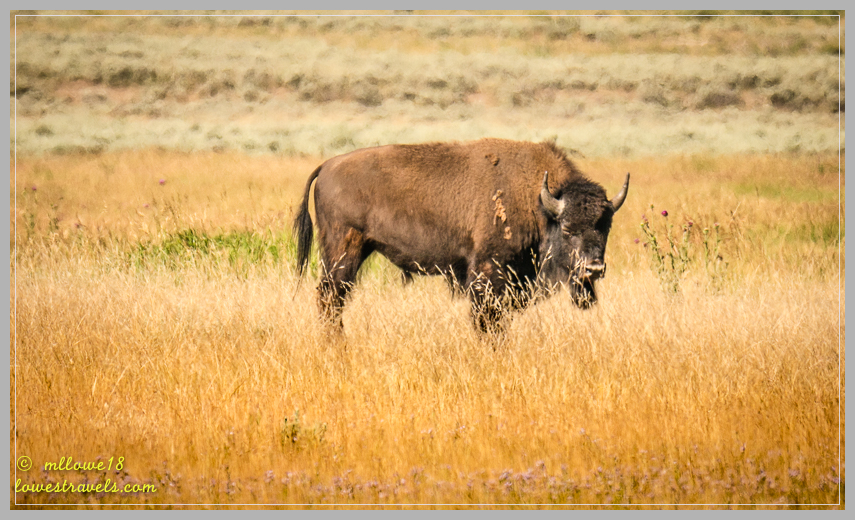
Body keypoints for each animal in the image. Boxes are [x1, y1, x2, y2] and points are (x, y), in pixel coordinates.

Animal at [294, 138, 629, 333]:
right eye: (568, 228)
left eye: (605, 227)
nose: (594, 269)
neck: (539, 202)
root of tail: (327, 166)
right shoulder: (487, 274)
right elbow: (487, 320)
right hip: (343, 249)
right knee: (330, 297)